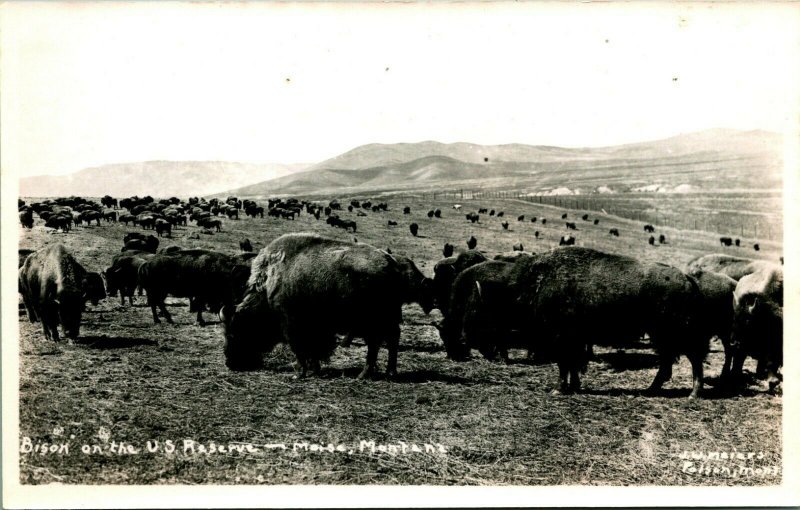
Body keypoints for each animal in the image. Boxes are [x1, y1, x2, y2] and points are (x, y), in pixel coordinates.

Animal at [219, 233, 418, 376]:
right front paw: (314, 369)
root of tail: (392, 264)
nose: (230, 363)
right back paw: (388, 372)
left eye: (234, 333)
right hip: (384, 320)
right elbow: (312, 350)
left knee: (378, 343)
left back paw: (366, 374)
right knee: (389, 339)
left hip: (373, 321)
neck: (268, 288)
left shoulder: (292, 325)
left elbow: (300, 349)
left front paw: (300, 373)